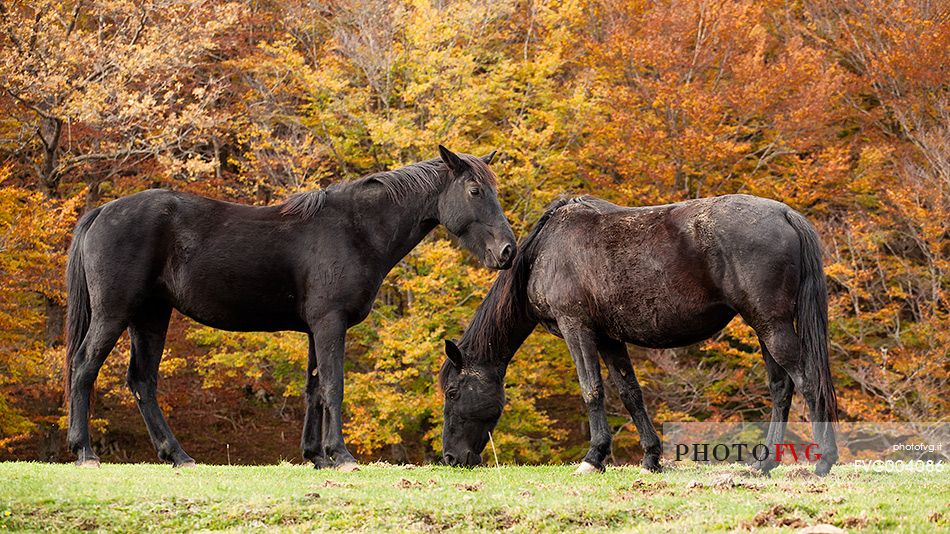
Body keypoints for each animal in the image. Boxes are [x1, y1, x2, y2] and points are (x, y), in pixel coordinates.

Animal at [67, 146, 516, 468]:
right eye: (475, 191)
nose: (508, 251)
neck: (355, 229)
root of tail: (103, 212)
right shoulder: (330, 323)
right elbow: (333, 386)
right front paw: (342, 456)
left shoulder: (317, 329)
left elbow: (314, 389)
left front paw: (317, 456)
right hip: (114, 315)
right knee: (85, 368)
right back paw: (85, 452)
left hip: (151, 318)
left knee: (143, 382)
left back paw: (177, 456)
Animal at [440, 196, 840, 478]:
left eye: (453, 392)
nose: (451, 457)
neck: (545, 251)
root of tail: (785, 214)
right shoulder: (609, 338)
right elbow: (630, 393)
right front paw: (651, 458)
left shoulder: (576, 328)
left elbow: (592, 390)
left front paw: (594, 458)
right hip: (765, 326)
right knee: (781, 389)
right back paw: (764, 464)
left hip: (771, 325)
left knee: (806, 381)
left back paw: (823, 462)